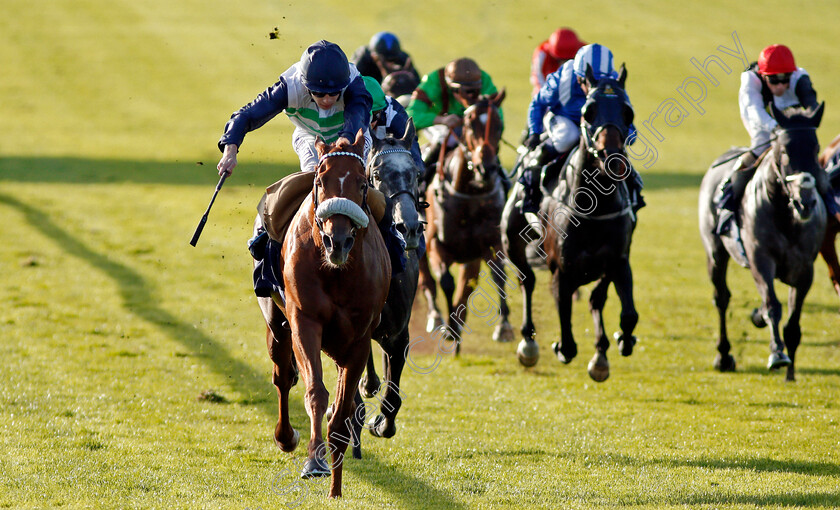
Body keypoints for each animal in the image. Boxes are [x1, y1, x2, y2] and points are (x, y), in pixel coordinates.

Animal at [256, 130, 390, 498]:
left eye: (362, 183)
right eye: (320, 180)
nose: (337, 241)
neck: (337, 273)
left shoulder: (359, 340)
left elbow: (342, 414)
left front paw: (336, 490)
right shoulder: (305, 321)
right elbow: (316, 391)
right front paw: (314, 460)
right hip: (277, 323)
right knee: (282, 377)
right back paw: (286, 436)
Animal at [418, 89, 516, 352]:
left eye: (500, 125)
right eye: (470, 123)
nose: (486, 168)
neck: (470, 195)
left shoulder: (489, 243)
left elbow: (497, 276)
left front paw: (504, 327)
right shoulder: (436, 244)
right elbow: (445, 281)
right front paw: (449, 328)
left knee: (467, 284)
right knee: (426, 279)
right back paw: (436, 317)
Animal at [498, 65, 636, 380]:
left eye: (627, 112)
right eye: (588, 111)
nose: (614, 161)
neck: (595, 208)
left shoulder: (618, 260)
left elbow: (626, 312)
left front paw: (620, 341)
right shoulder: (562, 267)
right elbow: (565, 320)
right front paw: (562, 346)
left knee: (596, 299)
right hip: (512, 241)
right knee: (527, 280)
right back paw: (528, 344)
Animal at [696, 104, 828, 382]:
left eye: (816, 148)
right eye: (785, 151)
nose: (806, 202)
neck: (785, 217)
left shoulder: (805, 270)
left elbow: (793, 322)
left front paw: (791, 372)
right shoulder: (760, 259)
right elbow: (772, 306)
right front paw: (777, 354)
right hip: (715, 253)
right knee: (721, 298)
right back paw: (724, 355)